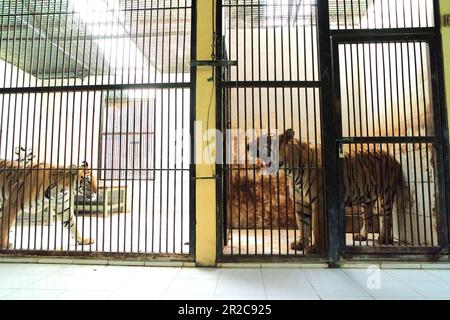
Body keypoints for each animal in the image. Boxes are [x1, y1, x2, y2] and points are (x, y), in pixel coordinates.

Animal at [248, 129, 410, 254]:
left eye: (266, 140)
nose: (248, 145)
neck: (290, 171)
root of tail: (392, 156)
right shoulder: (300, 203)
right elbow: (303, 225)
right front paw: (300, 244)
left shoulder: (318, 200)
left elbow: (316, 227)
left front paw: (315, 248)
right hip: (366, 199)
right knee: (369, 218)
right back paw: (362, 236)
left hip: (386, 195)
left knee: (386, 217)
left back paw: (385, 239)